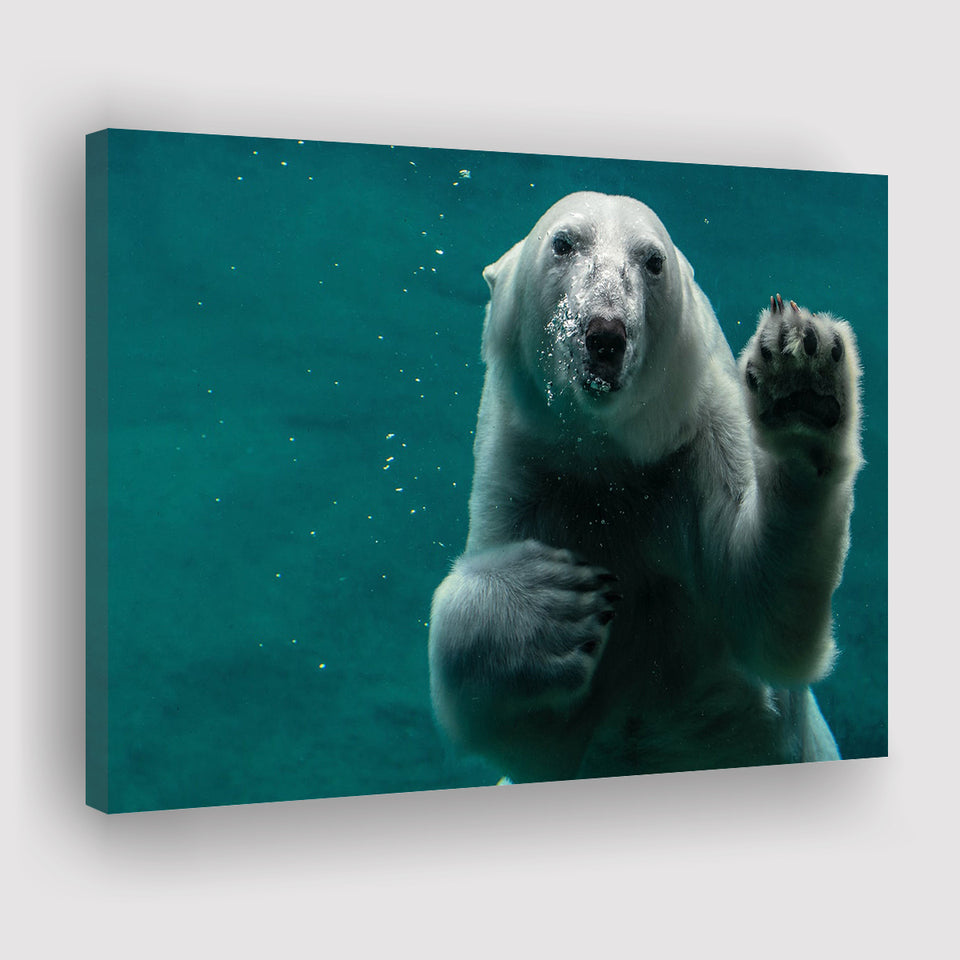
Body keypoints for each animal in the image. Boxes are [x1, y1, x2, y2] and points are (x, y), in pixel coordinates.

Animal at [428, 191, 862, 783]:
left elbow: (767, 613)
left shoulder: (699, 440)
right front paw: (558, 603)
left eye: (653, 260)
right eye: (563, 243)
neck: (610, 457)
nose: (605, 333)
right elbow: (517, 726)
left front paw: (801, 380)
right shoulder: (527, 470)